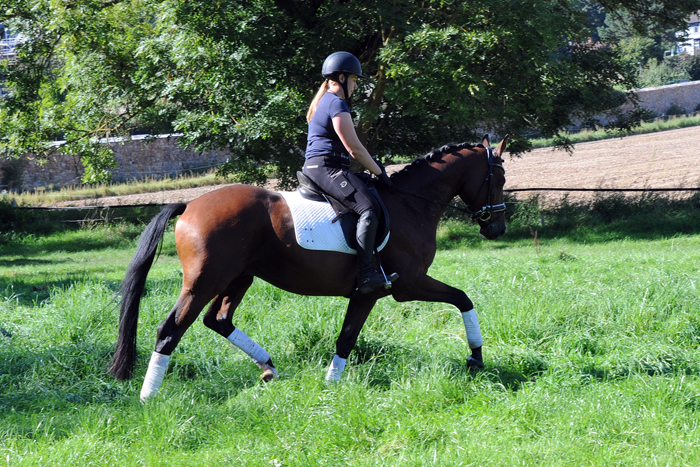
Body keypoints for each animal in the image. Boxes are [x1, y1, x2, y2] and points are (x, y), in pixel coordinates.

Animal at [106, 133, 506, 400]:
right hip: (205, 281)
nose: (497, 228)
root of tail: (189, 205)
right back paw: (148, 397)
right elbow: (463, 298)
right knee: (170, 329)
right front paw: (475, 358)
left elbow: (347, 337)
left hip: (239, 278)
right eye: (499, 179)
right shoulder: (407, 285)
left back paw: (268, 366)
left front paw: (330, 384)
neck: (409, 204)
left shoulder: (370, 294)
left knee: (217, 319)